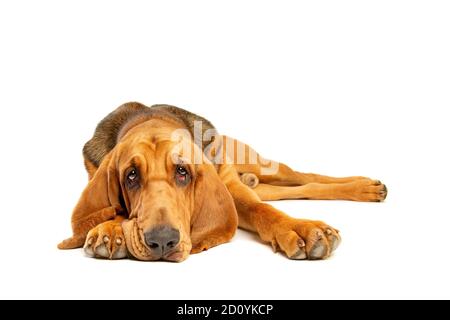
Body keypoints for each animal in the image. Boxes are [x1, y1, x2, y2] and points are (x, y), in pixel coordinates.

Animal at [56, 104, 386, 262]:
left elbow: (264, 211)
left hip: (265, 167)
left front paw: (299, 229)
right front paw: (108, 230)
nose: (162, 241)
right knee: (297, 190)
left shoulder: (232, 190)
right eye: (131, 176)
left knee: (307, 179)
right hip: (263, 184)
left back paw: (365, 187)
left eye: (183, 172)